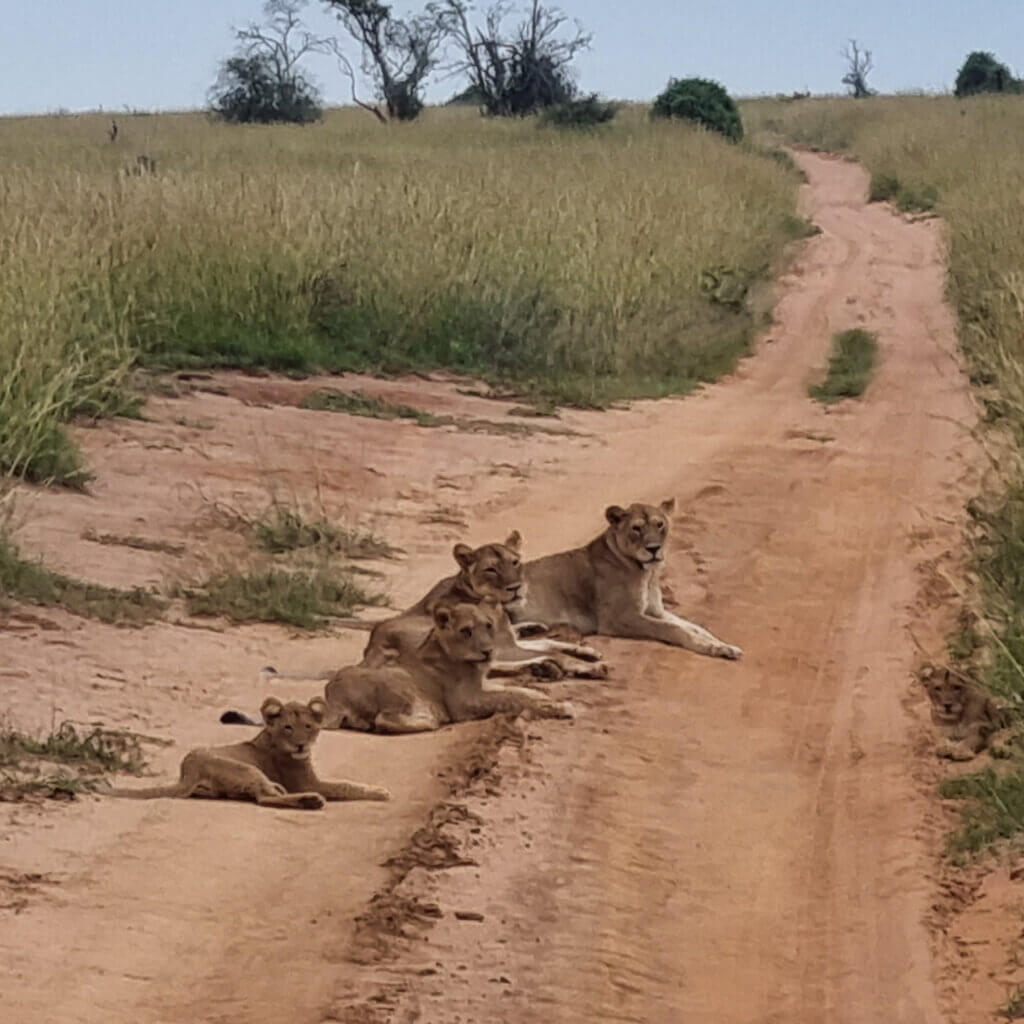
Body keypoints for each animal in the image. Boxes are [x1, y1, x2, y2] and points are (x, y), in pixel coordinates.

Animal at [112, 697, 391, 810]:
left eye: (308, 726)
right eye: (288, 727)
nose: (301, 746)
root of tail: (188, 769)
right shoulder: (308, 782)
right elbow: (346, 786)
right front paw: (381, 791)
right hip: (247, 768)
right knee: (264, 798)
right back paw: (310, 801)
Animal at [325, 599, 576, 734]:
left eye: (488, 625)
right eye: (466, 631)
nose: (488, 651)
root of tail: (334, 699)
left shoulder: (482, 685)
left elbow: (515, 690)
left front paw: (544, 696)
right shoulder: (464, 702)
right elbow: (513, 697)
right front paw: (561, 707)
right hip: (399, 685)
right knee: (383, 719)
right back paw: (431, 720)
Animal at [507, 499, 742, 660]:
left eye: (659, 524)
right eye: (636, 528)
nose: (653, 549)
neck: (647, 574)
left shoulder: (655, 611)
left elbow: (695, 627)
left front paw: (722, 646)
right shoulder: (619, 618)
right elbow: (673, 629)